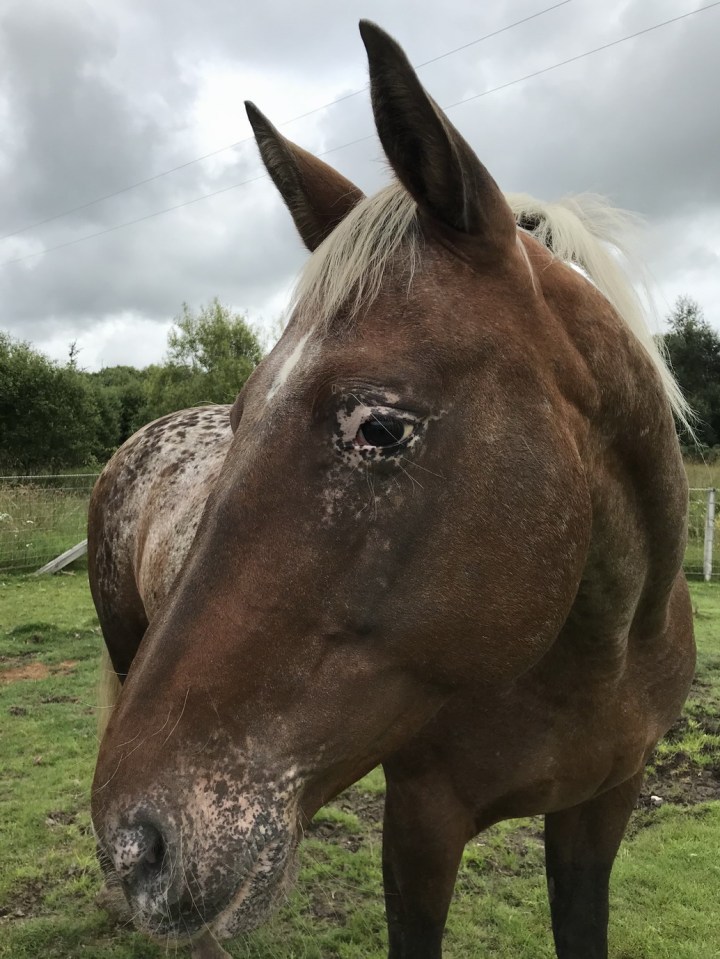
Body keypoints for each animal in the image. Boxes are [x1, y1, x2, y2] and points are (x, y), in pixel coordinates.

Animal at [89, 21, 696, 959]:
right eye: (244, 411)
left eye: (379, 427)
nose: (133, 842)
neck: (596, 658)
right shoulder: (420, 821)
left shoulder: (604, 806)